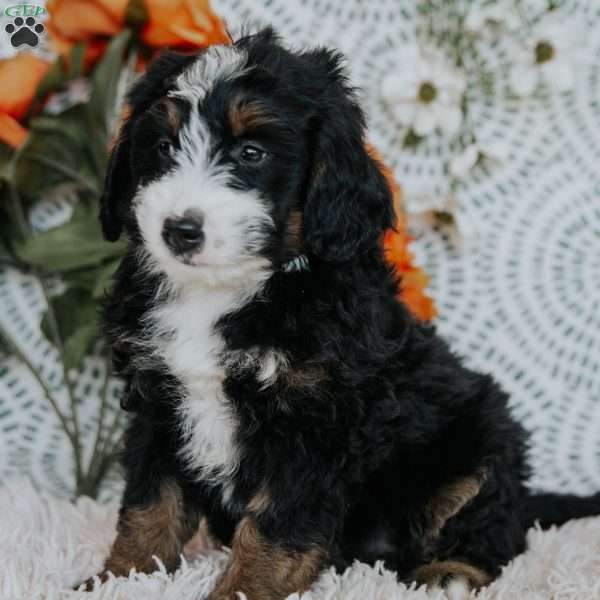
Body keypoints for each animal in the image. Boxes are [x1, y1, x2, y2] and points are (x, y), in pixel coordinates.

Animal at [88, 27, 600, 600]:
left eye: (251, 152)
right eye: (162, 148)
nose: (179, 230)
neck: (225, 291)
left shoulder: (314, 420)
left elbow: (275, 526)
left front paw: (243, 589)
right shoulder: (158, 399)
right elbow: (149, 504)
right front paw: (116, 579)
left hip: (482, 441)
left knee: (490, 524)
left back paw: (451, 572)